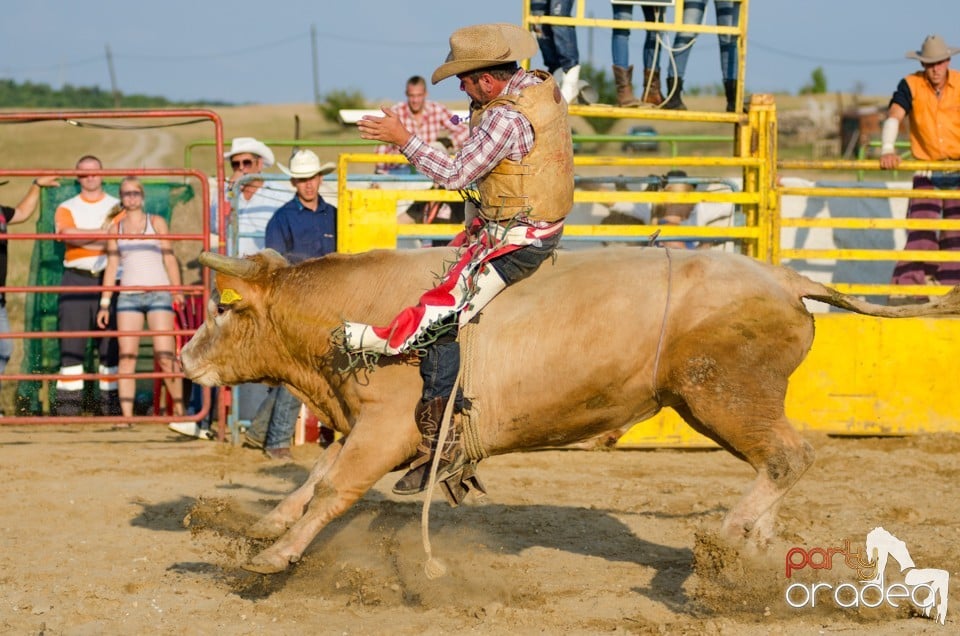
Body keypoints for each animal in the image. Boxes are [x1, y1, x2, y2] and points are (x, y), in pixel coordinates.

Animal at [180, 248, 960, 576]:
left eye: (225, 308)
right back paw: (755, 546)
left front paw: (275, 555)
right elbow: (317, 476)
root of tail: (783, 275)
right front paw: (261, 525)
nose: (185, 359)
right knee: (782, 459)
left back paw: (728, 539)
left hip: (723, 394)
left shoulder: (389, 427)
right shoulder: (369, 428)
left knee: (791, 454)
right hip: (725, 398)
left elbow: (337, 486)